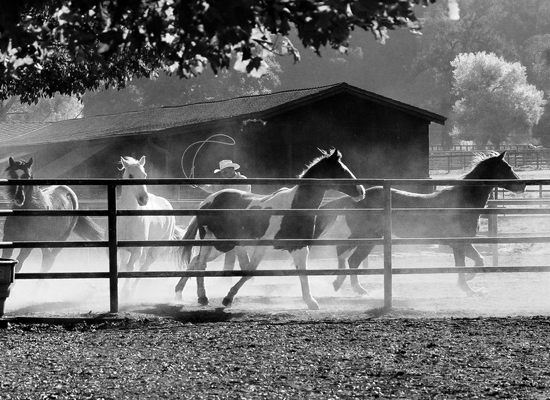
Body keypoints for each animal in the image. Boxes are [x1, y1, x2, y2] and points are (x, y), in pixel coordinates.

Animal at [116, 155, 183, 294]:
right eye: (130, 175)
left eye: (144, 175)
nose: (143, 199)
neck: (127, 219)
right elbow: (121, 267)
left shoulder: (137, 250)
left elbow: (130, 268)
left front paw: (125, 291)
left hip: (155, 250)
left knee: (143, 267)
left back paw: (132, 291)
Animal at [177, 148, 366, 310]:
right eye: (341, 170)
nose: (361, 191)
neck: (294, 207)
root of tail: (207, 201)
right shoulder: (264, 245)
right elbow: (250, 271)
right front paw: (228, 298)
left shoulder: (299, 247)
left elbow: (303, 274)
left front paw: (310, 301)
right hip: (211, 240)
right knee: (201, 264)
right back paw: (202, 297)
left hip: (223, 244)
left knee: (195, 261)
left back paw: (179, 291)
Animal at [314, 152, 528, 298]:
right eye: (507, 168)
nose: (523, 184)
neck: (463, 201)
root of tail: (353, 199)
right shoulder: (458, 244)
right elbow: (464, 265)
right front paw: (468, 288)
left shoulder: (461, 243)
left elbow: (479, 260)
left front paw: (469, 283)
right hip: (367, 236)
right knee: (348, 255)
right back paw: (351, 286)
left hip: (370, 238)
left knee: (349, 256)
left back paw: (346, 285)